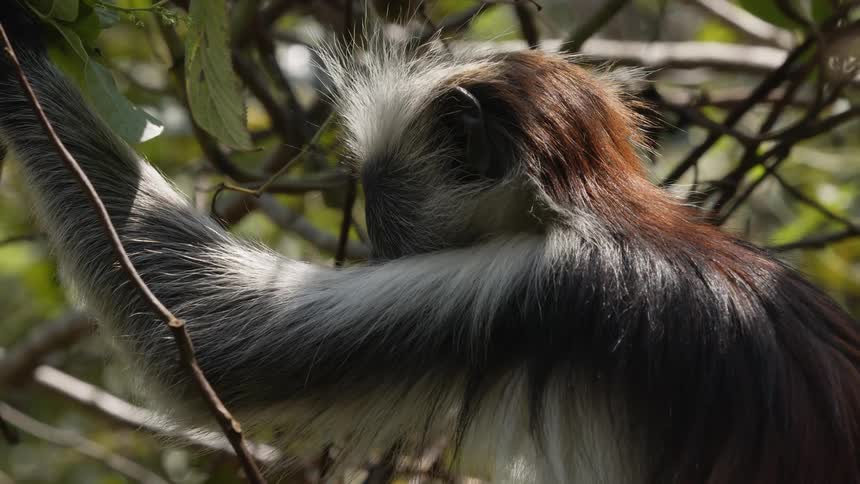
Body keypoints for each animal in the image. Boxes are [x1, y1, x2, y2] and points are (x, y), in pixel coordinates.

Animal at [1, 3, 859, 483]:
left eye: (382, 211)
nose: (380, 248)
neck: (606, 208)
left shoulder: (523, 283)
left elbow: (206, 340)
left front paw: (17, 41)